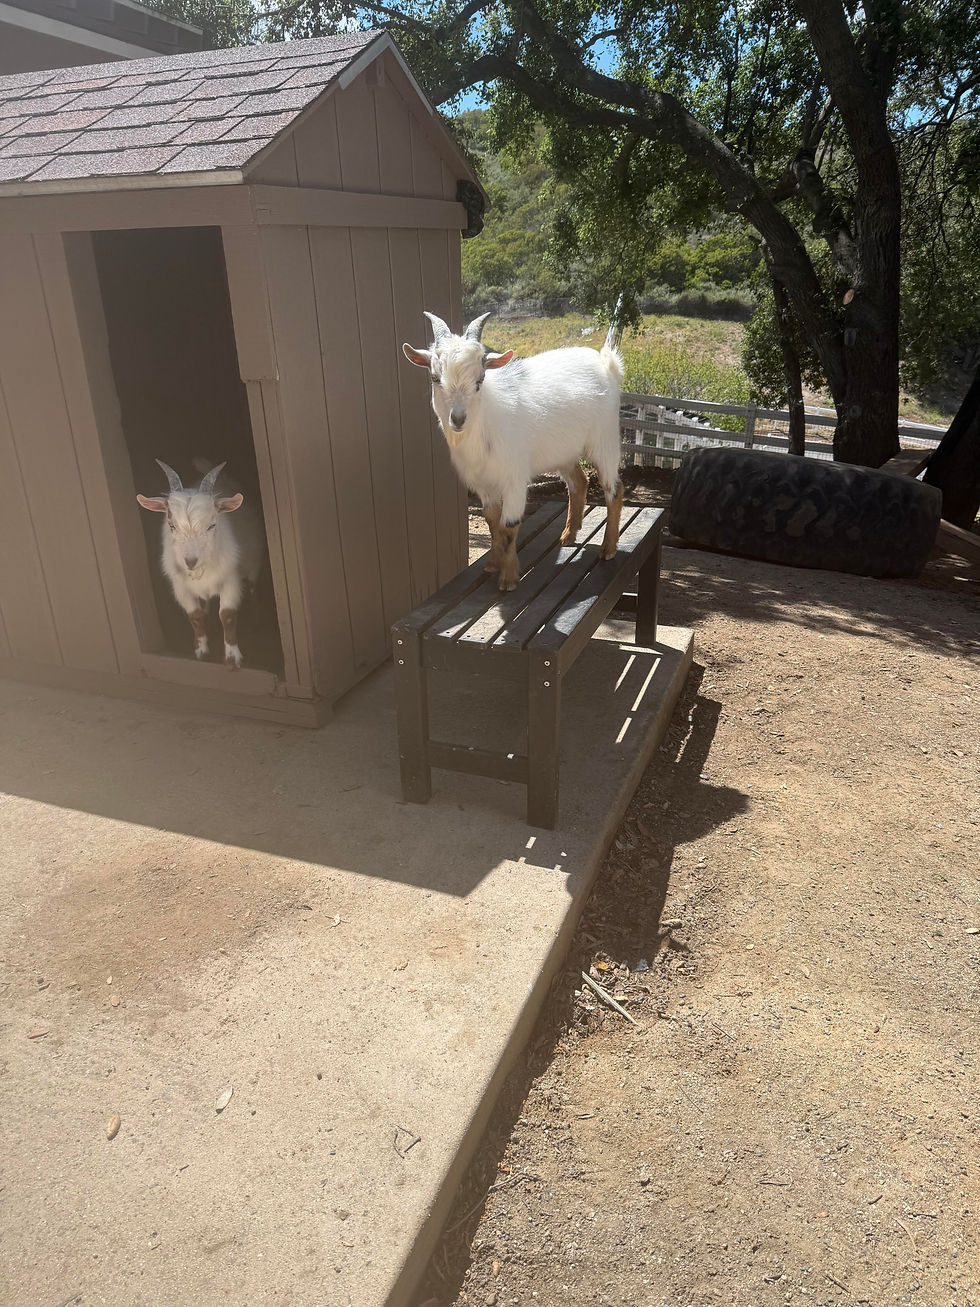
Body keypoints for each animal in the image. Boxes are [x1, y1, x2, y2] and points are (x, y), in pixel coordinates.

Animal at [136, 460, 264, 667]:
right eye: (172, 526)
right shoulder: (180, 587)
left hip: (254, 560)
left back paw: (255, 618)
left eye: (212, 525)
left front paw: (232, 658)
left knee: (253, 586)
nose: (190, 561)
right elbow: (195, 617)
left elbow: (227, 615)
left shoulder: (231, 579)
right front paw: (202, 652)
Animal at [403, 311, 624, 590]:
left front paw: (508, 579)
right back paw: (568, 535)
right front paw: (492, 564)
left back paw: (608, 549)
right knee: (579, 482)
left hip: (604, 440)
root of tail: (606, 362)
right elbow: (492, 523)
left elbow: (508, 527)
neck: (485, 424)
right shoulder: (483, 484)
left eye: (480, 380)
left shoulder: (514, 479)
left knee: (614, 490)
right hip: (564, 450)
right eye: (434, 378)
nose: (458, 419)